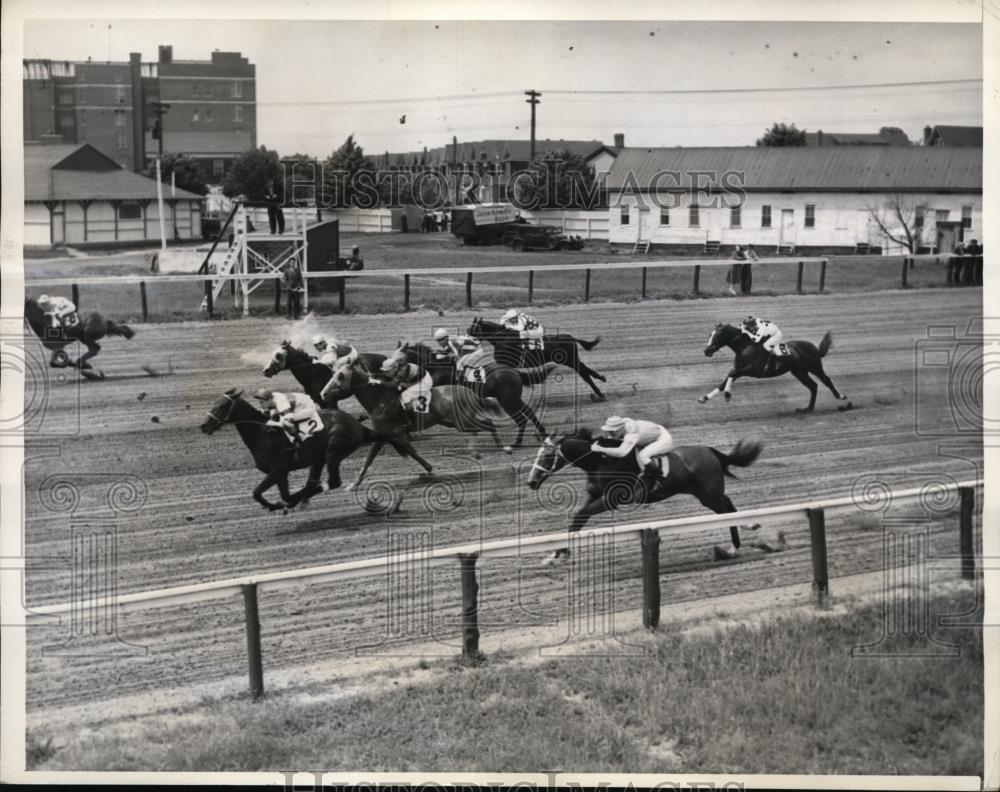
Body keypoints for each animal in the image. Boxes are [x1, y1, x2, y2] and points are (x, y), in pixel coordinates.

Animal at [198, 386, 382, 510]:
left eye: (222, 405)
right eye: (213, 403)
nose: (203, 426)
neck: (262, 433)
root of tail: (357, 425)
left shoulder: (278, 470)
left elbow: (258, 493)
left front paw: (279, 505)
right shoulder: (281, 473)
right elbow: (282, 494)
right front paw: (284, 503)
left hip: (333, 452)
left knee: (333, 481)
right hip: (319, 459)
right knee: (314, 480)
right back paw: (303, 498)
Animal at [390, 342, 548, 448]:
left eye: (398, 360)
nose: (390, 376)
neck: (436, 367)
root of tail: (515, 371)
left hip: (508, 400)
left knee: (523, 417)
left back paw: (520, 442)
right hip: (512, 399)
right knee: (528, 412)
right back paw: (539, 436)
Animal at [464, 318, 604, 402]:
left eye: (472, 329)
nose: (465, 340)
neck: (503, 339)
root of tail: (571, 338)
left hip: (571, 360)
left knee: (584, 373)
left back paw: (599, 393)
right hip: (571, 360)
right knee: (585, 369)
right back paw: (601, 379)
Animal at [524, 430, 764, 568]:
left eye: (547, 455)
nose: (531, 482)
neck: (600, 461)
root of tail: (710, 451)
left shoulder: (610, 500)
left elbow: (580, 516)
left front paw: (560, 554)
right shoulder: (594, 496)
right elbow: (577, 521)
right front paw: (555, 555)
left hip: (708, 495)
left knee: (727, 510)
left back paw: (733, 548)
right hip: (709, 494)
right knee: (729, 506)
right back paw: (748, 527)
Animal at [696, 322, 852, 412]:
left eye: (718, 335)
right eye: (710, 335)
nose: (706, 351)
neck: (746, 347)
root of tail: (815, 348)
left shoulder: (754, 370)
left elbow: (731, 373)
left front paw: (728, 395)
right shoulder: (741, 370)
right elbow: (725, 380)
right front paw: (704, 398)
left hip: (815, 367)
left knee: (826, 381)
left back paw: (841, 397)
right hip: (799, 372)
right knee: (813, 386)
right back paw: (807, 408)